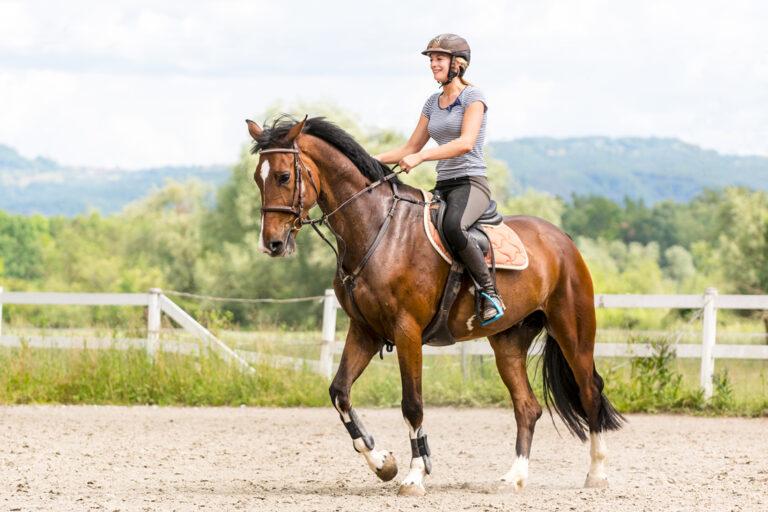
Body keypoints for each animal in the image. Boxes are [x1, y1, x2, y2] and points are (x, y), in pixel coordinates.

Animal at [245, 115, 624, 497]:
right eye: (257, 178)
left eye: (283, 176)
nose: (271, 244)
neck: (378, 230)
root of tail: (563, 240)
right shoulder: (364, 330)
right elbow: (339, 392)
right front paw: (383, 463)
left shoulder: (406, 331)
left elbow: (412, 404)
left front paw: (414, 476)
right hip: (508, 342)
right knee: (527, 407)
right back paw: (514, 477)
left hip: (572, 330)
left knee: (589, 391)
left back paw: (597, 474)